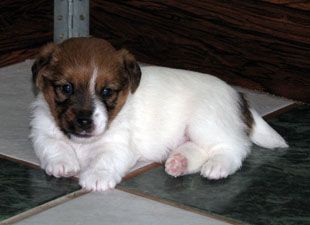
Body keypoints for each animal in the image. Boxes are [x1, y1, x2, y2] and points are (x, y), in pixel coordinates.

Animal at [29, 37, 288, 192]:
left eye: (107, 91)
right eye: (66, 88)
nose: (84, 122)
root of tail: (238, 95)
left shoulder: (119, 145)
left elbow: (105, 159)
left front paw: (96, 177)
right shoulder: (42, 133)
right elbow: (54, 146)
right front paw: (62, 163)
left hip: (206, 123)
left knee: (235, 146)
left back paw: (218, 166)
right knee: (197, 150)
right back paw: (179, 163)